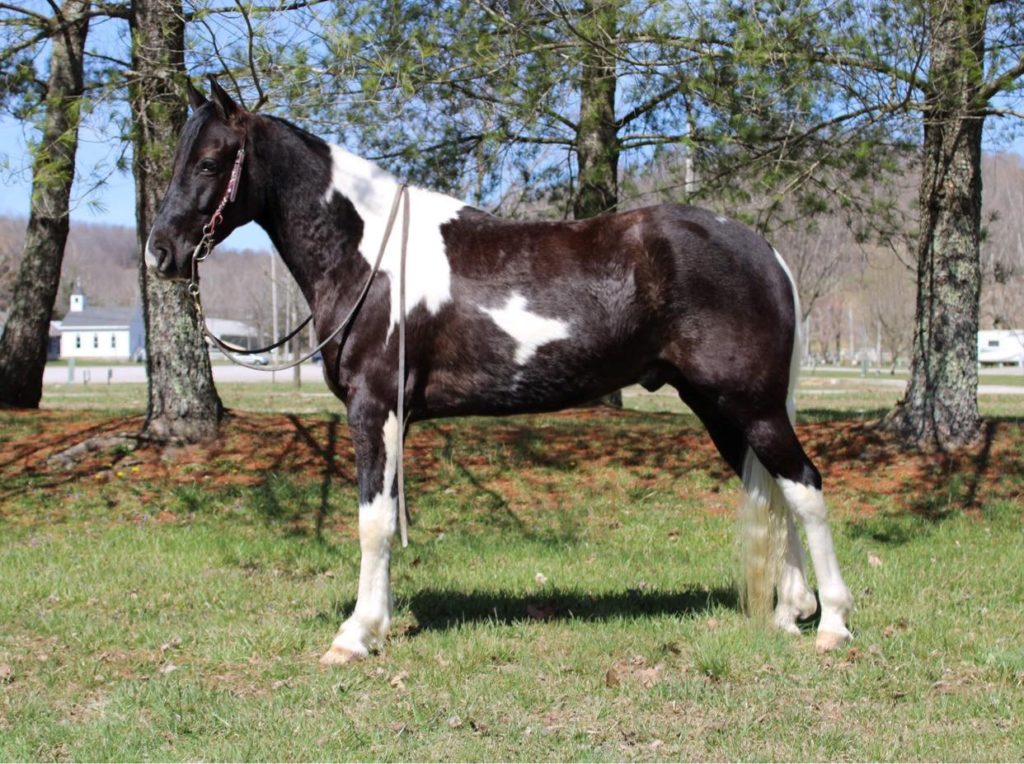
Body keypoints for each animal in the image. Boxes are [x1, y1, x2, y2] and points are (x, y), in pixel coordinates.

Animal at [146, 79, 852, 664]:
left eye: (210, 162)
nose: (160, 253)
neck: (368, 253)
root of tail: (761, 249)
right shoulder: (390, 417)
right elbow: (385, 517)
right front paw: (378, 625)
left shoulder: (374, 408)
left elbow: (372, 522)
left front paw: (354, 636)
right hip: (723, 411)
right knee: (778, 492)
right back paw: (792, 612)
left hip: (751, 406)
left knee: (806, 489)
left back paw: (833, 625)